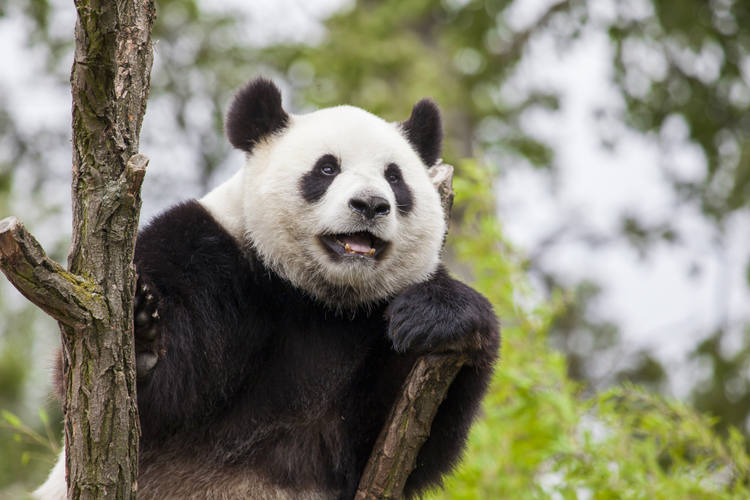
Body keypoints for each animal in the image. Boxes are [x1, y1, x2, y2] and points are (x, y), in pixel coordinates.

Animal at [35, 78, 499, 500]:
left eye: (395, 177)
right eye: (327, 168)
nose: (370, 204)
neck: (322, 297)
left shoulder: (369, 327)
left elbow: (401, 446)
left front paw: (438, 316)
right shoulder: (208, 250)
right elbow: (133, 401)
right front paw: (140, 336)